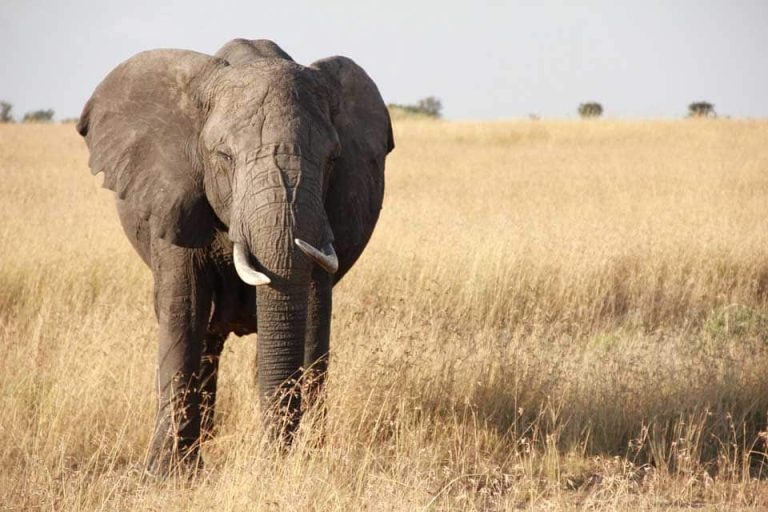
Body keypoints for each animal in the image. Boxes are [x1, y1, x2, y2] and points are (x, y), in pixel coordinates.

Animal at [77, 38, 393, 477]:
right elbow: (184, 309)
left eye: (333, 159)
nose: (274, 458)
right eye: (224, 157)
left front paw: (306, 458)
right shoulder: (173, 194)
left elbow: (315, 311)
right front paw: (166, 474)